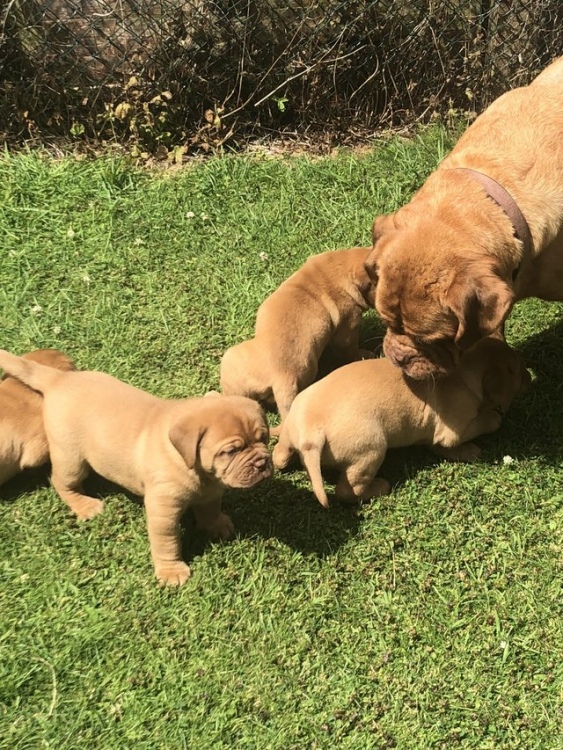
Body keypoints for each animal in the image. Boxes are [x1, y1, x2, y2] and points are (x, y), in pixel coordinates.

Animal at [276, 340, 532, 512]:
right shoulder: (452, 431)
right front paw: (474, 443)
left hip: (292, 429)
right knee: (347, 491)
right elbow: (484, 423)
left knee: (280, 455)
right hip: (371, 450)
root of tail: (312, 433)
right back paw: (380, 486)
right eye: (517, 371)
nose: (530, 377)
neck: (463, 373)